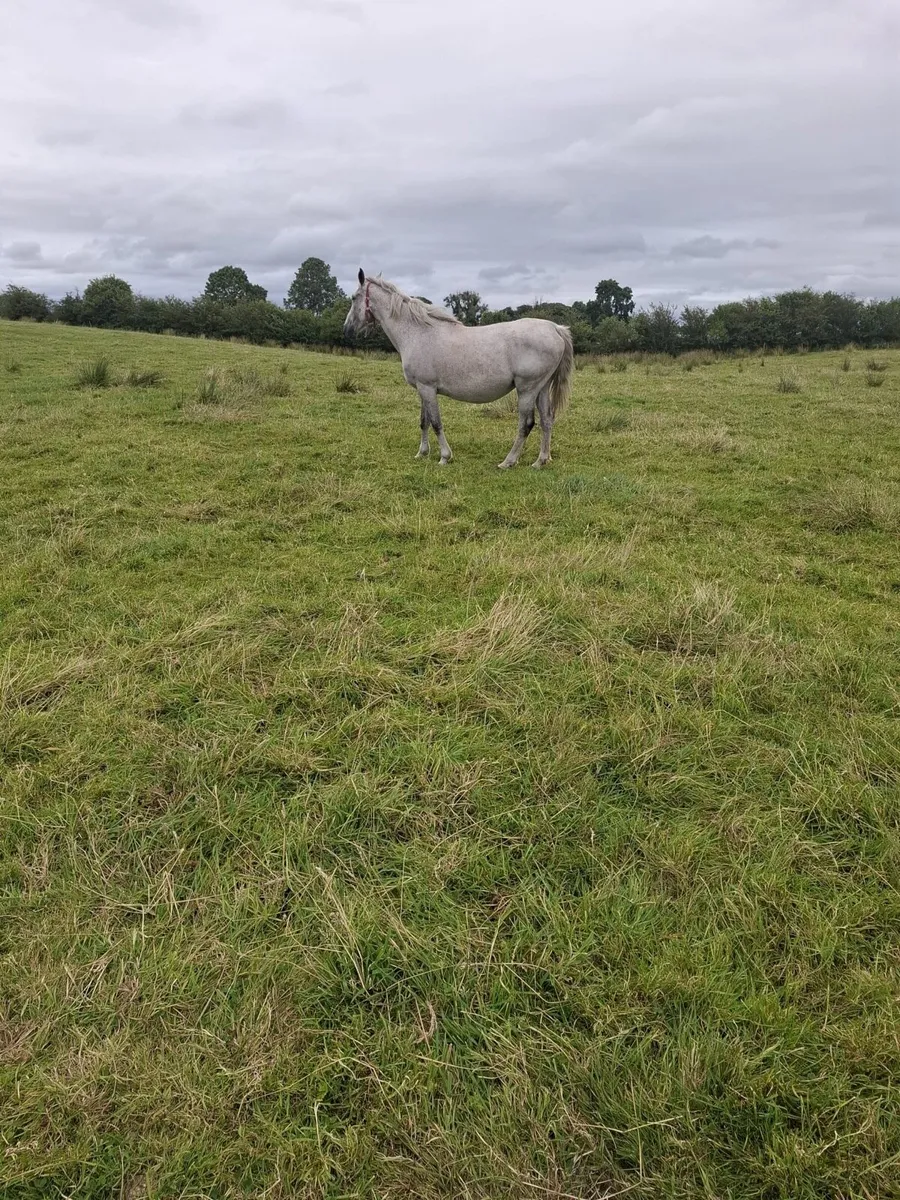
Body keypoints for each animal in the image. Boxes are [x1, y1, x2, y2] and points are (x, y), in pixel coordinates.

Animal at [343, 270, 574, 468]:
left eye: (354, 298)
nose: (347, 329)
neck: (417, 333)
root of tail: (555, 328)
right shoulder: (422, 389)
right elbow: (424, 422)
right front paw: (422, 453)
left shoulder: (427, 388)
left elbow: (436, 423)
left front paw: (444, 457)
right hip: (541, 389)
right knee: (547, 420)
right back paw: (540, 461)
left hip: (527, 389)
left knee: (526, 424)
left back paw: (508, 462)